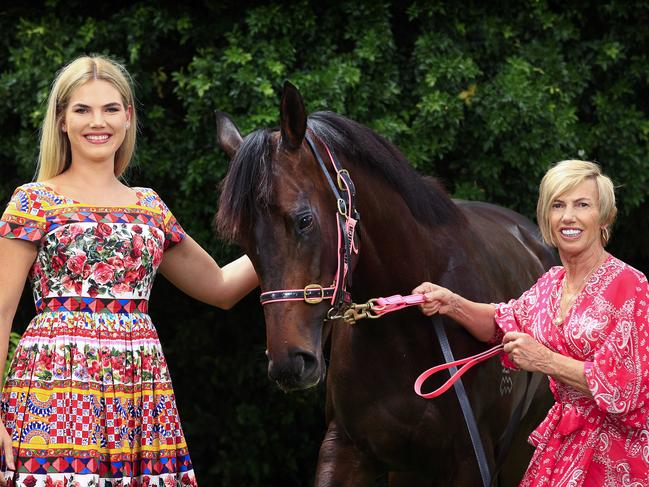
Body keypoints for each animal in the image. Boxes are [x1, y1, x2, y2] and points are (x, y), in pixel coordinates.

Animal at [215, 82, 556, 486]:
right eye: (242, 241)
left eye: (303, 220)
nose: (289, 362)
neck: (407, 332)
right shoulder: (347, 449)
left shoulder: (471, 462)